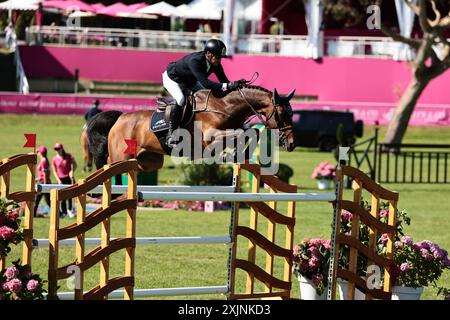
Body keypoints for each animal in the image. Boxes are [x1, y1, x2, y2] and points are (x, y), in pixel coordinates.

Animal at [86, 85, 298, 174]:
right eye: (282, 114)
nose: (291, 143)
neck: (224, 106)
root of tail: (120, 118)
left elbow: (250, 132)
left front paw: (238, 155)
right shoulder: (210, 137)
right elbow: (241, 133)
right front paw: (230, 154)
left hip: (149, 160)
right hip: (120, 156)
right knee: (108, 165)